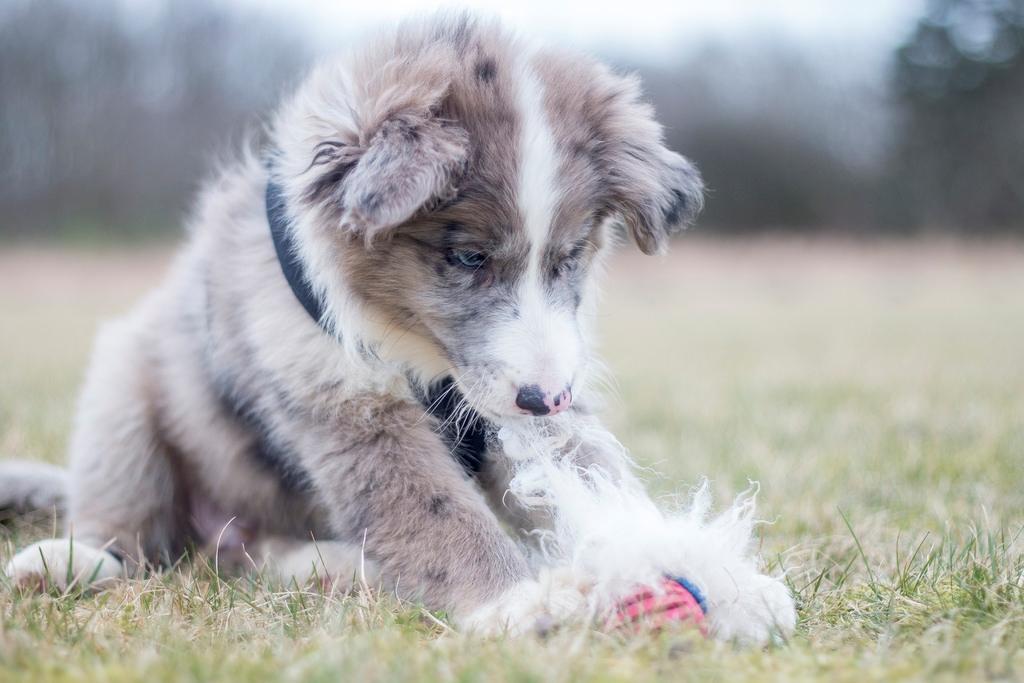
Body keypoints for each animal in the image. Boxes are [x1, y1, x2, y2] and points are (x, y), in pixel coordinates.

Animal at [4, 12, 794, 643]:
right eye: (468, 256)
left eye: (569, 259)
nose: (544, 398)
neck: (415, 346)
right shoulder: (346, 408)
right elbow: (433, 512)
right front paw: (520, 597)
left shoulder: (525, 401)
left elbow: (594, 479)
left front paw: (708, 573)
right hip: (123, 385)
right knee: (136, 533)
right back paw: (68, 561)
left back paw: (321, 564)